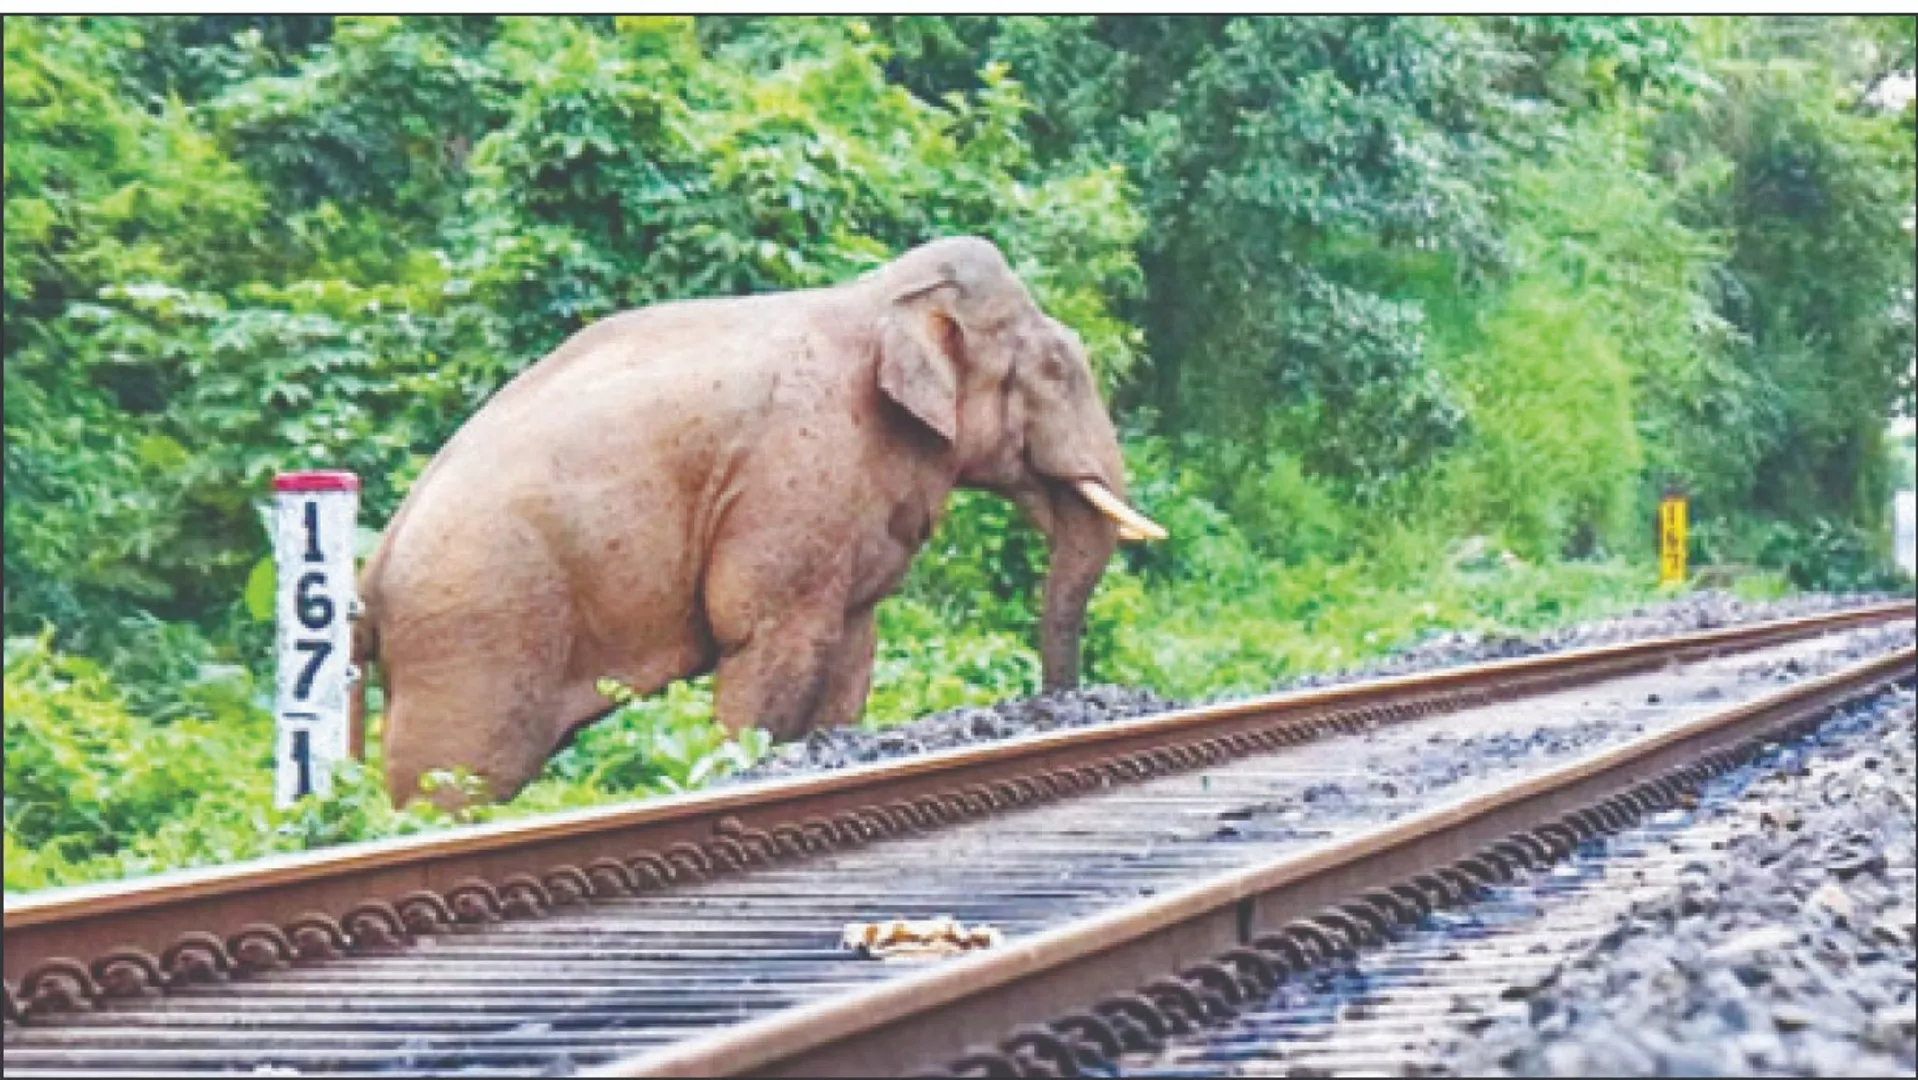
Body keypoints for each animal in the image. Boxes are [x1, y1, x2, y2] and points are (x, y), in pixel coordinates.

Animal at [355, 236, 1167, 808]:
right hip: (476, 635)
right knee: (454, 781)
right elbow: (769, 639)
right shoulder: (792, 479)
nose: (1064, 704)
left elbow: (852, 646)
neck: (877, 296)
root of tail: (374, 569)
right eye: (1057, 369)